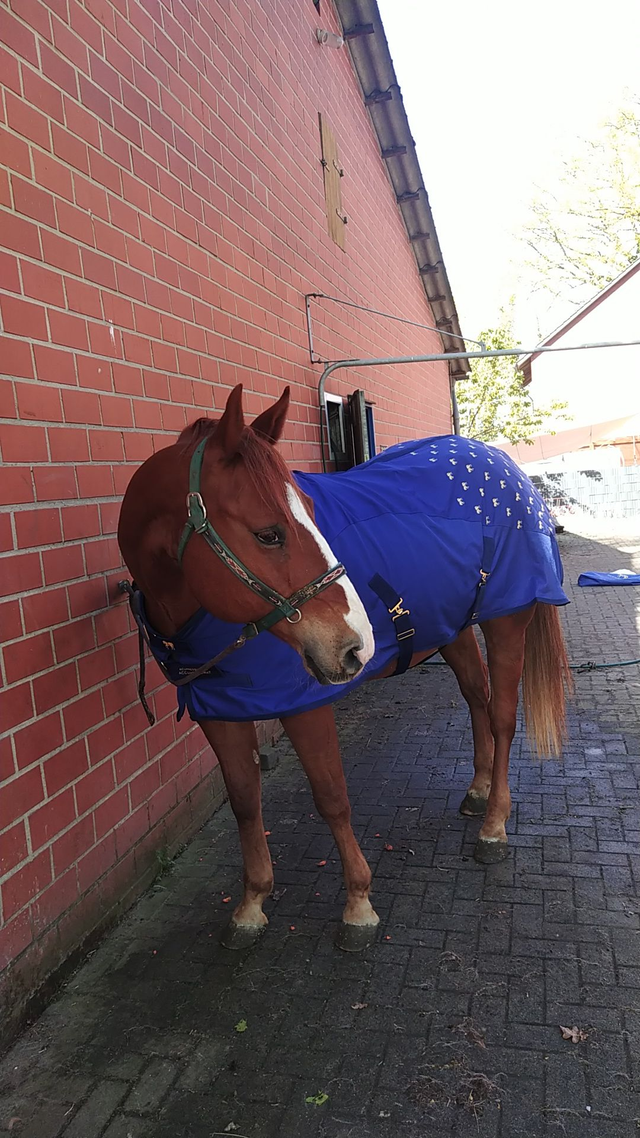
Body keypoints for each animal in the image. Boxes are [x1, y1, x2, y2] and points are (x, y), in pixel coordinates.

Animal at [117, 385, 572, 952]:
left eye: (311, 509)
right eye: (269, 534)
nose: (358, 647)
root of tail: (507, 468)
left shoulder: (303, 707)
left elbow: (332, 798)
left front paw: (358, 905)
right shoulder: (218, 712)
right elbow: (245, 801)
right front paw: (252, 904)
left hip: (507, 621)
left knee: (504, 719)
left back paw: (493, 827)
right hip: (455, 629)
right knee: (477, 700)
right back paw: (478, 791)